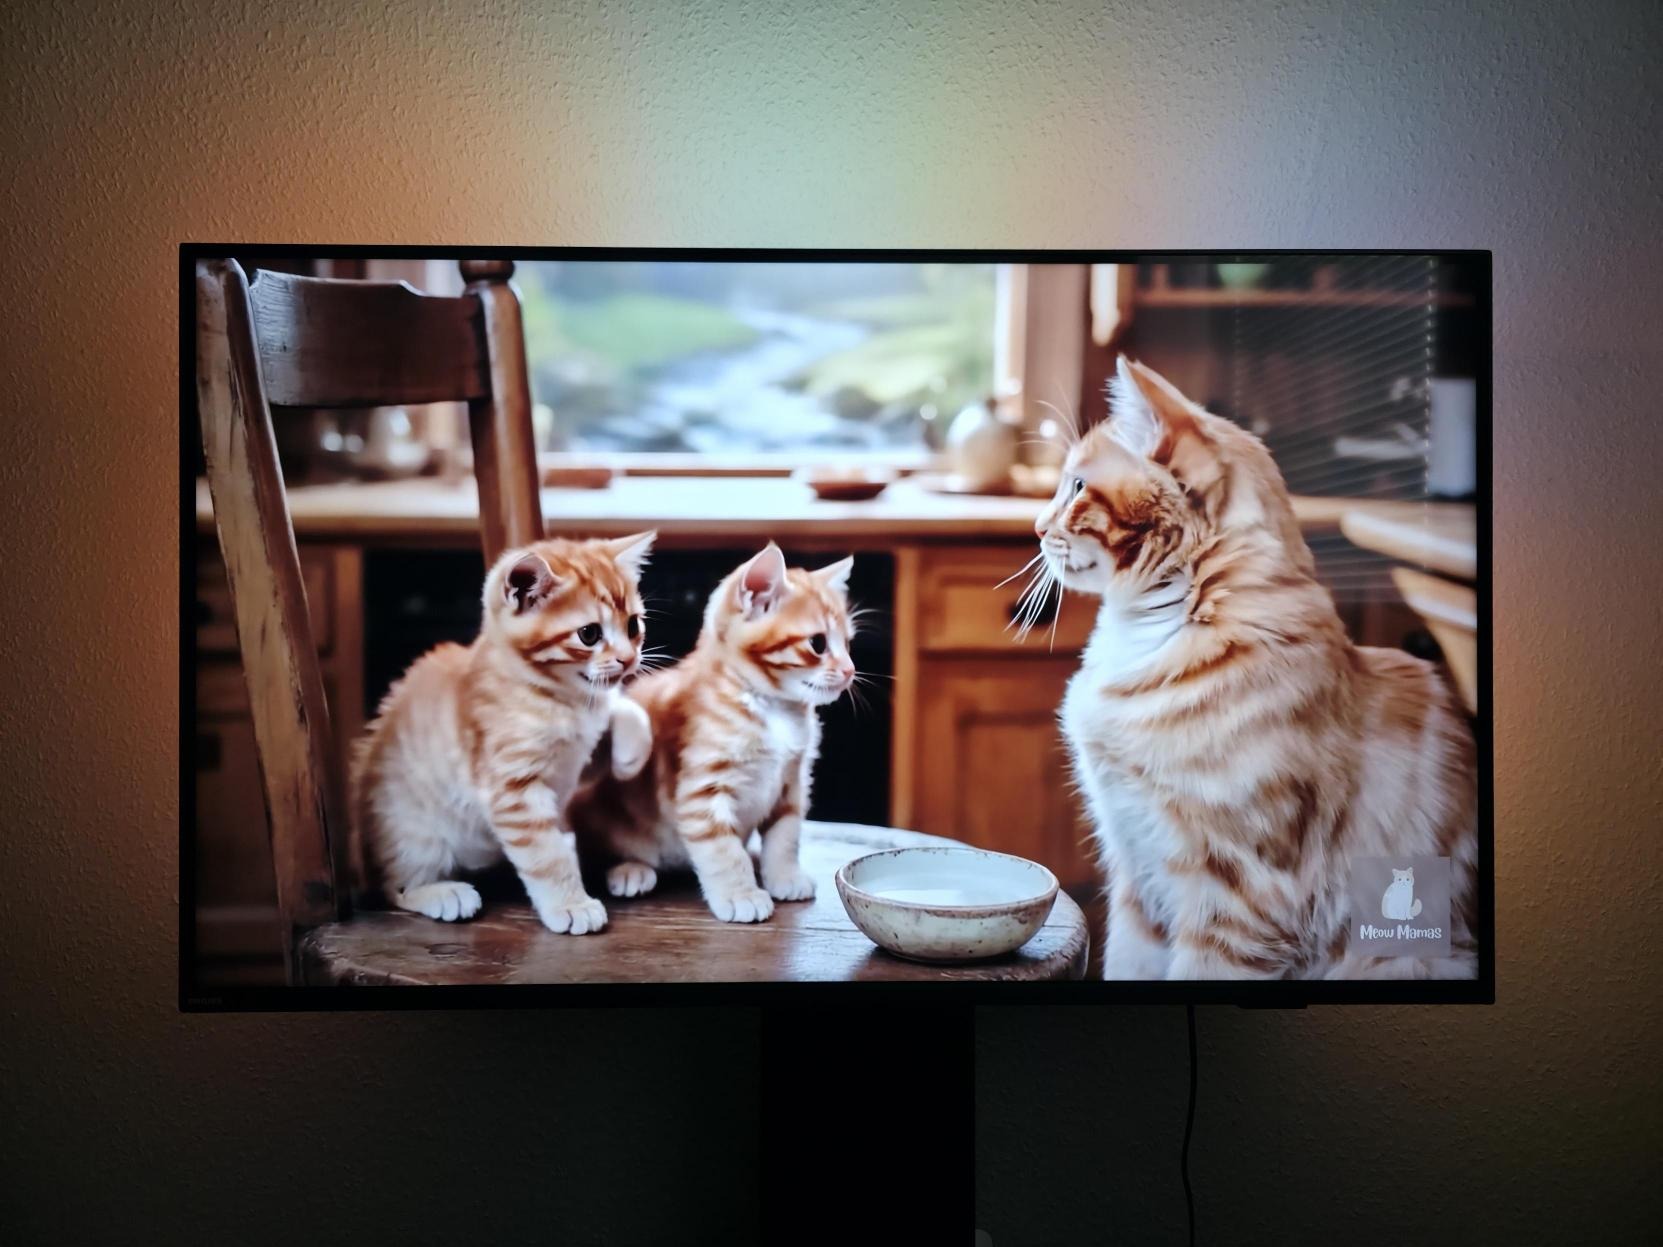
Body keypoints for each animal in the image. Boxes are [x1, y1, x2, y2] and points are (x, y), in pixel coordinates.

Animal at [349, 532, 655, 935]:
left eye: (633, 625)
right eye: (589, 634)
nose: (629, 660)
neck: (565, 699)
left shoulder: (575, 760)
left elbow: (621, 709)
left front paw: (629, 755)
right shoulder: (513, 788)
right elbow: (544, 853)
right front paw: (570, 904)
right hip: (412, 835)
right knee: (395, 885)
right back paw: (442, 892)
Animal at [567, 543, 856, 923]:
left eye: (848, 643)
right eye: (818, 644)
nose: (850, 671)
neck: (773, 707)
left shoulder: (791, 783)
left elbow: (785, 835)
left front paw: (784, 875)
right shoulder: (702, 790)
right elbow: (723, 849)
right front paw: (740, 894)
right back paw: (629, 870)